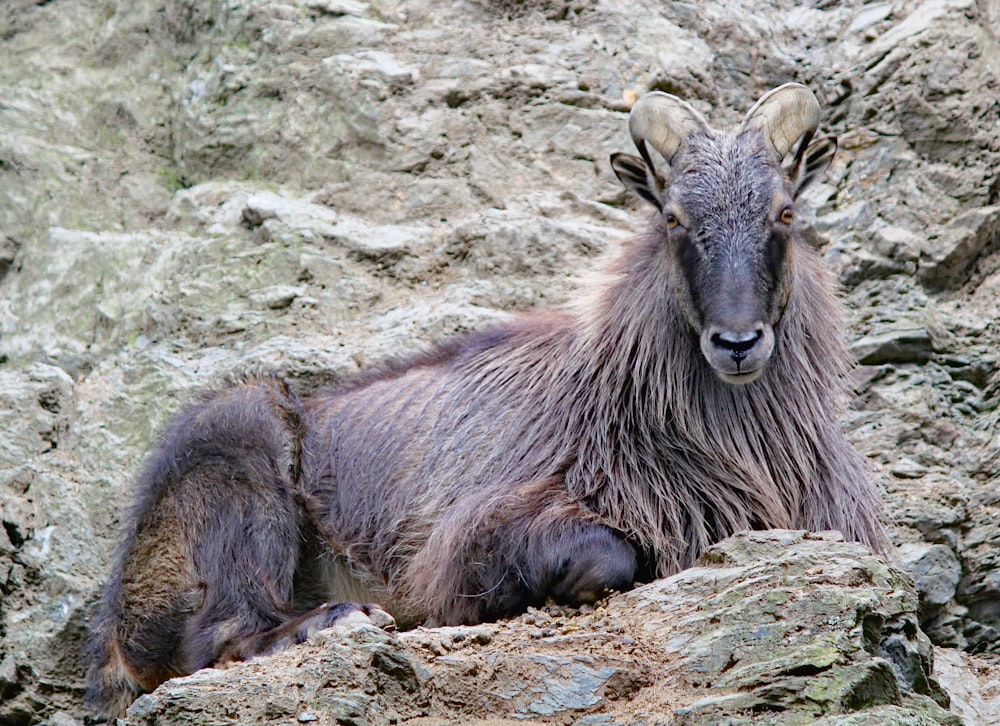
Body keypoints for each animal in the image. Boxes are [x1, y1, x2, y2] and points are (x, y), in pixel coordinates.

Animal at [84, 85, 884, 724]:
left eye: (785, 212)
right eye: (675, 219)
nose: (738, 342)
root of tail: (116, 628)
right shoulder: (482, 528)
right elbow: (604, 555)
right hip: (243, 447)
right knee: (217, 635)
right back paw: (336, 619)